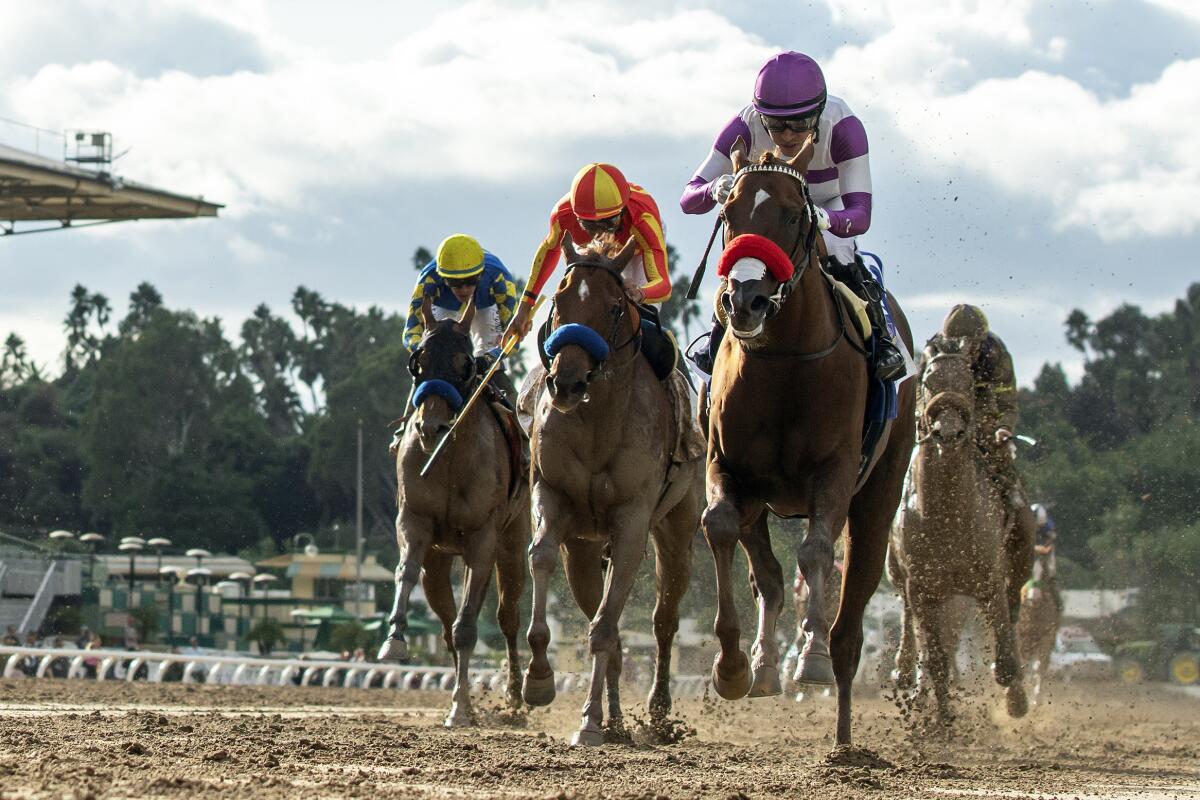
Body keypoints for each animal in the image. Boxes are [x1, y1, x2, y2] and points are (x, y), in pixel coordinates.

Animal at [374, 297, 525, 729]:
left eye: (465, 363)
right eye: (419, 361)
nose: (431, 427)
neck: (449, 459)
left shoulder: (482, 539)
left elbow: (469, 625)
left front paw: (460, 707)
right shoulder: (414, 521)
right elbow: (405, 570)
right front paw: (394, 640)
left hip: (513, 543)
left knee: (508, 616)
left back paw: (516, 695)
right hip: (439, 564)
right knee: (443, 619)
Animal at [523, 236, 700, 743]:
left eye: (615, 306)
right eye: (559, 300)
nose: (566, 382)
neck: (599, 420)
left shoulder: (632, 521)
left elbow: (606, 628)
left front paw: (587, 722)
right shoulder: (554, 497)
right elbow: (541, 555)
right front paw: (538, 679)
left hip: (678, 530)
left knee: (663, 619)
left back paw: (655, 713)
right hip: (583, 552)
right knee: (608, 621)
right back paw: (617, 718)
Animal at [700, 140, 912, 748]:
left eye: (796, 215)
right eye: (729, 213)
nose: (745, 300)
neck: (784, 360)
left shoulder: (833, 473)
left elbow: (817, 552)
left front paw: (811, 656)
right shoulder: (729, 468)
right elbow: (722, 530)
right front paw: (733, 665)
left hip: (879, 493)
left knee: (853, 601)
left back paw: (841, 726)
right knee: (768, 577)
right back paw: (765, 664)